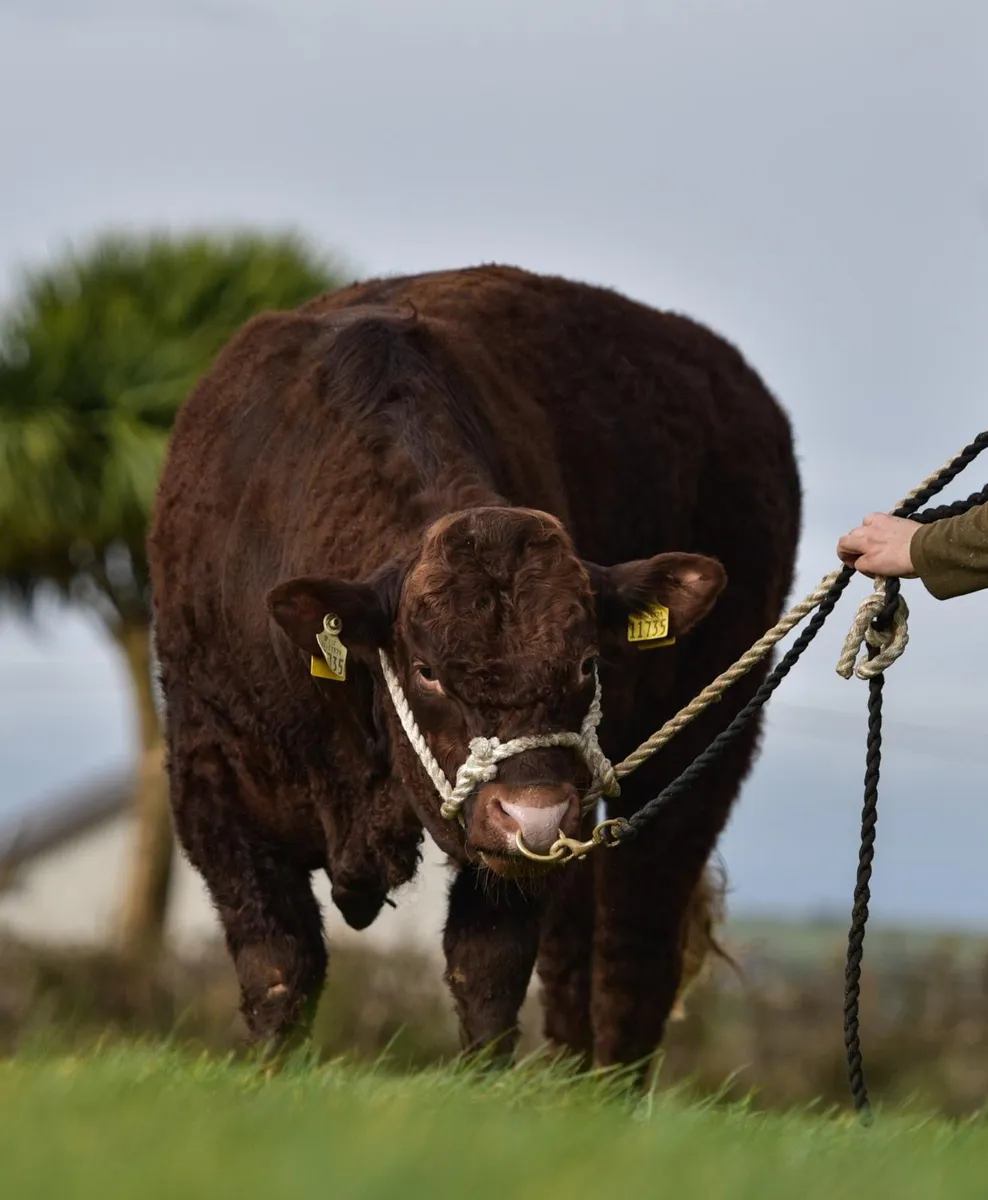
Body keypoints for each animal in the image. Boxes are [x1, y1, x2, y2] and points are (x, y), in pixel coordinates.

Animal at [148, 265, 800, 1070]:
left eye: (588, 661)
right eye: (426, 670)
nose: (535, 814)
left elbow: (485, 968)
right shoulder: (213, 781)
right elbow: (279, 965)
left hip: (699, 743)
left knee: (635, 936)